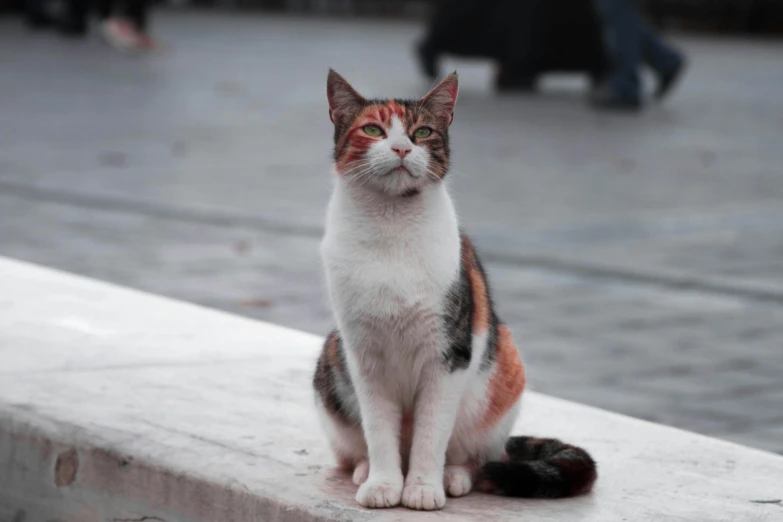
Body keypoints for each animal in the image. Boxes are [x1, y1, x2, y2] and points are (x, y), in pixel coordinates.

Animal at [312, 69, 596, 508]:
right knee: (356, 447)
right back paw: (364, 469)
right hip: (331, 356)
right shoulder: (364, 356)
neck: (391, 225)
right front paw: (383, 484)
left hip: (502, 366)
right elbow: (378, 429)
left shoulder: (449, 353)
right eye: (373, 130)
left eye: (422, 132)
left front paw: (423, 487)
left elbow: (432, 433)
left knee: (477, 457)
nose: (401, 147)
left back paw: (453, 476)